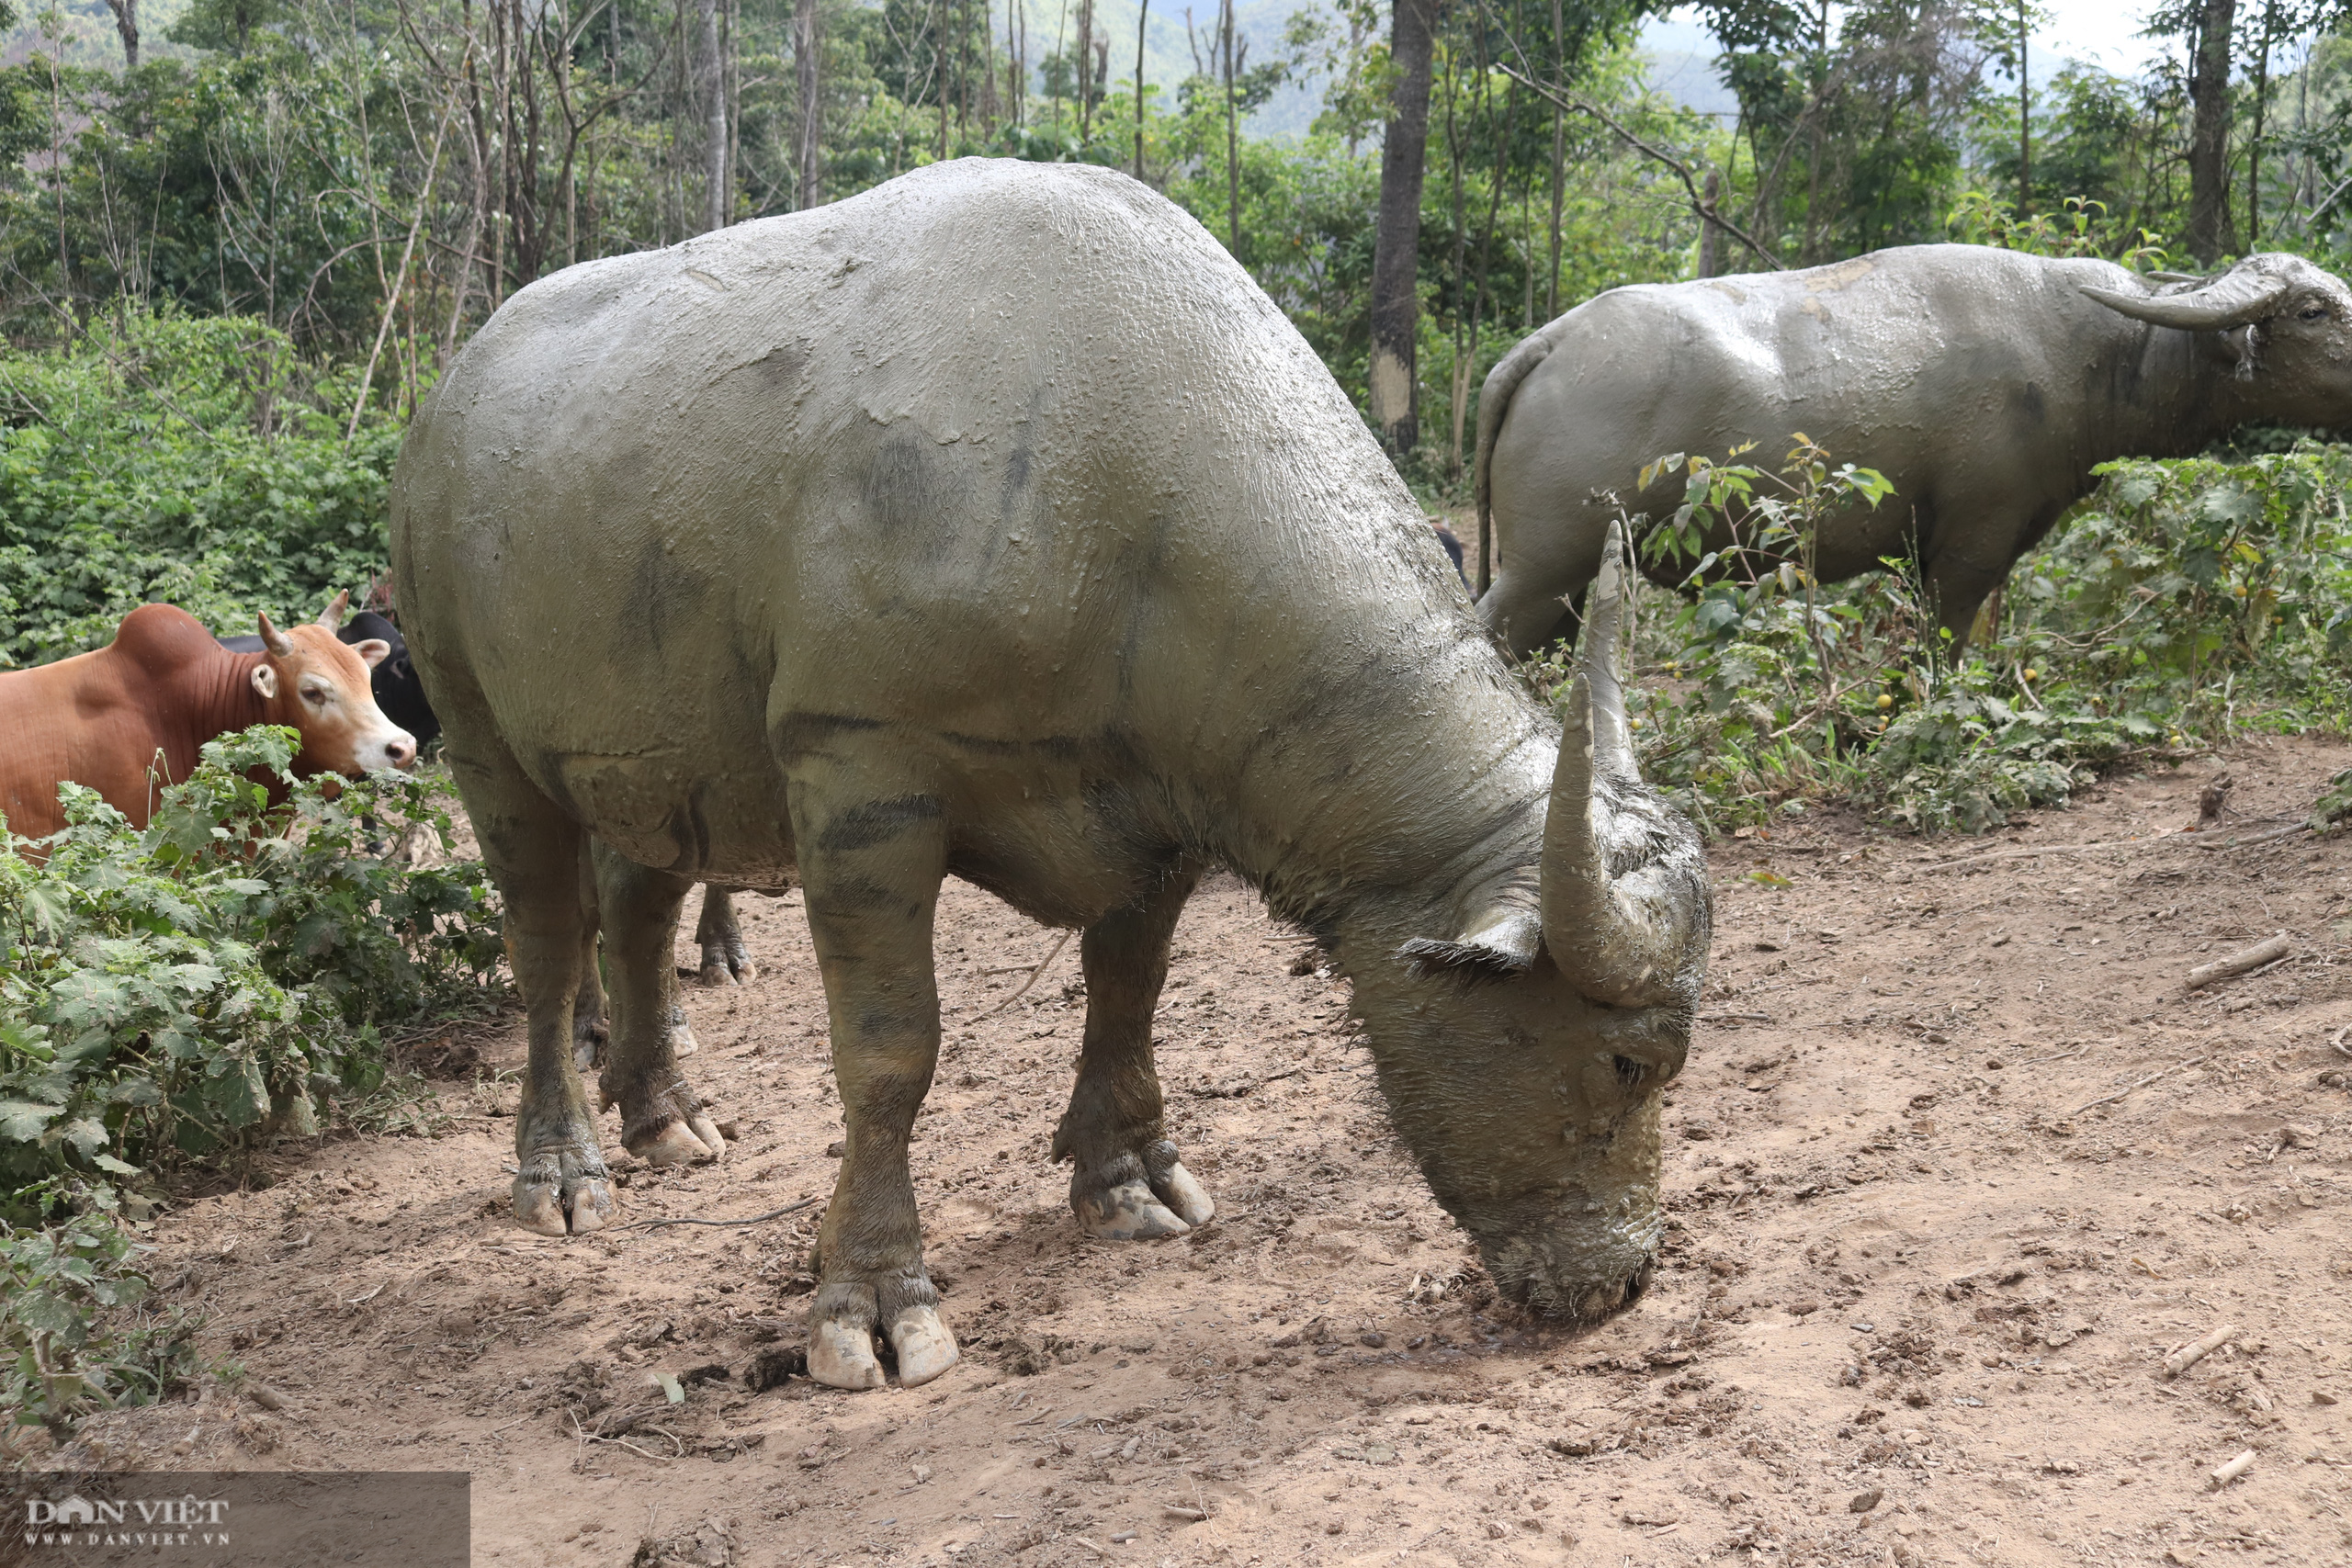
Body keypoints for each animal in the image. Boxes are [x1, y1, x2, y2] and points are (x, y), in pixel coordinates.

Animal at [385, 156, 1712, 1382]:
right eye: (1627, 1062)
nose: (1624, 1280)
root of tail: (450, 396)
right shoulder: (860, 771)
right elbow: (892, 1052)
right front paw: (874, 1299)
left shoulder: (1158, 793)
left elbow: (1130, 984)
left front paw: (1129, 1178)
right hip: (468, 695)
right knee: (543, 932)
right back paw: (562, 1169)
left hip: (645, 692)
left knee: (644, 885)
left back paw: (666, 1115)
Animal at [1467, 243, 2352, 658]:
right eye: (2312, 311)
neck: (2093, 354)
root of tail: (1548, 344)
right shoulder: (1970, 543)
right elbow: (1945, 643)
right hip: (1542, 570)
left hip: (1573, 583)